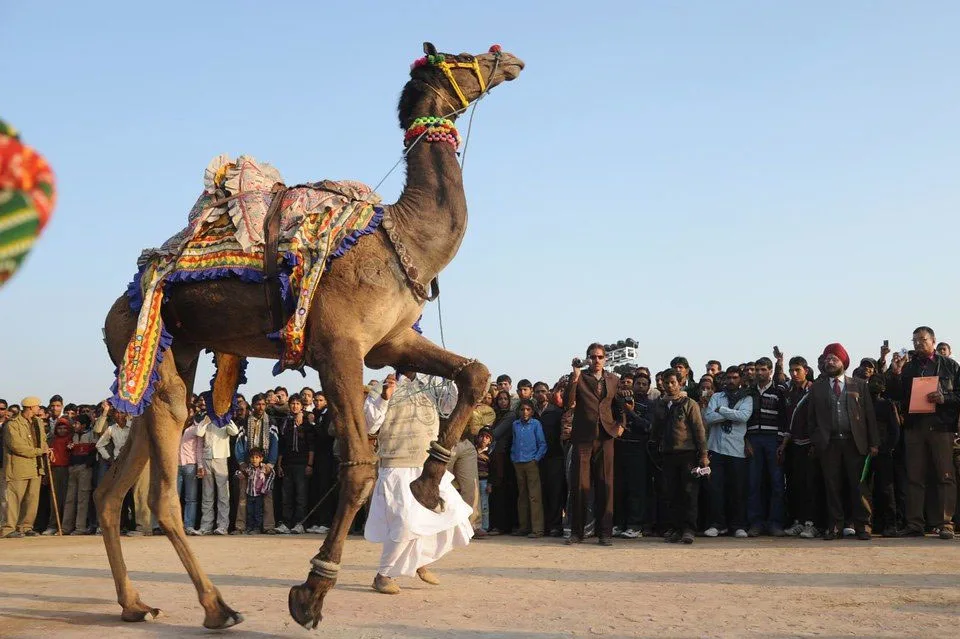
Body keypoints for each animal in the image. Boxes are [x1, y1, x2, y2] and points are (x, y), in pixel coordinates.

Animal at [95, 42, 523, 629]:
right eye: (461, 56)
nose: (510, 59)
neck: (404, 236)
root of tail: (116, 308)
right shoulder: (337, 348)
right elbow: (359, 466)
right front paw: (311, 593)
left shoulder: (390, 342)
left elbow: (474, 372)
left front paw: (426, 486)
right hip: (144, 350)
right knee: (162, 492)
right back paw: (217, 607)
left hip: (171, 355)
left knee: (114, 487)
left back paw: (134, 603)